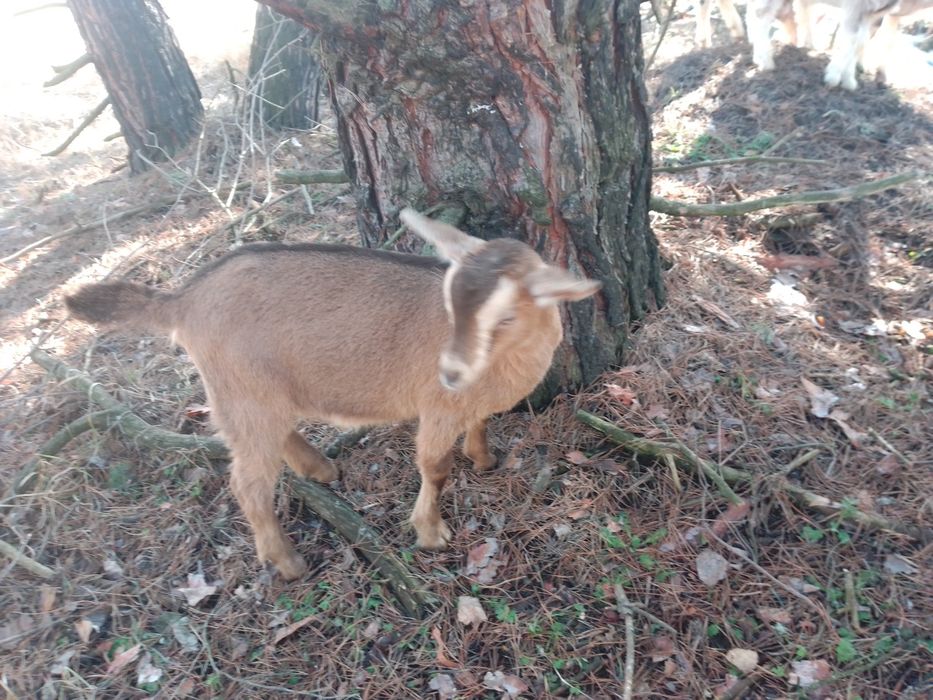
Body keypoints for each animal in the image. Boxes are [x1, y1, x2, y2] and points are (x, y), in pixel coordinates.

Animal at [64, 209, 601, 580]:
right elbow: (435, 467)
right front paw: (430, 532)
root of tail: (182, 300)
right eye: (449, 301)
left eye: (506, 316)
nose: (449, 370)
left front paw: (485, 459)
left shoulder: (468, 400)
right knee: (248, 482)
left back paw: (319, 469)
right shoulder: (437, 407)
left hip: (255, 390)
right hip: (242, 389)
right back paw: (286, 562)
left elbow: (481, 422)